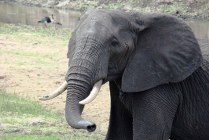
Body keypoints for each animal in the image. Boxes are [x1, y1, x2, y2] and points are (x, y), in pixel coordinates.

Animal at [39, 9, 209, 139]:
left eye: (114, 43)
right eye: (73, 41)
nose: (91, 126)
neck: (135, 18)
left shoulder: (162, 82)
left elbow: (148, 135)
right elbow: (118, 133)